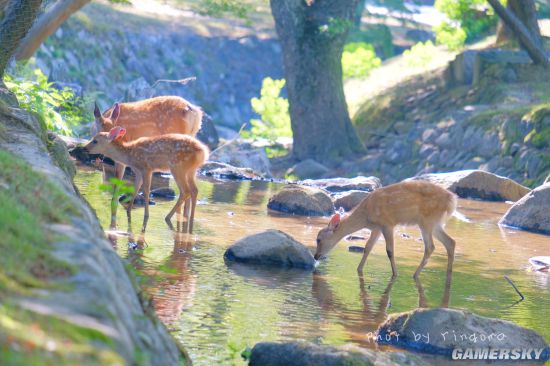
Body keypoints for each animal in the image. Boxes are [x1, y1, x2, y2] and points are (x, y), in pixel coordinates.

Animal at [316, 179, 460, 278]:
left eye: (319, 239)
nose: (316, 256)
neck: (365, 216)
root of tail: (453, 200)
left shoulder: (387, 223)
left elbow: (389, 250)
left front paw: (395, 274)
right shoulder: (377, 228)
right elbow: (368, 247)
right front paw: (359, 269)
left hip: (427, 221)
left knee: (430, 246)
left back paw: (415, 274)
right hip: (435, 223)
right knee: (451, 242)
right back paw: (449, 273)